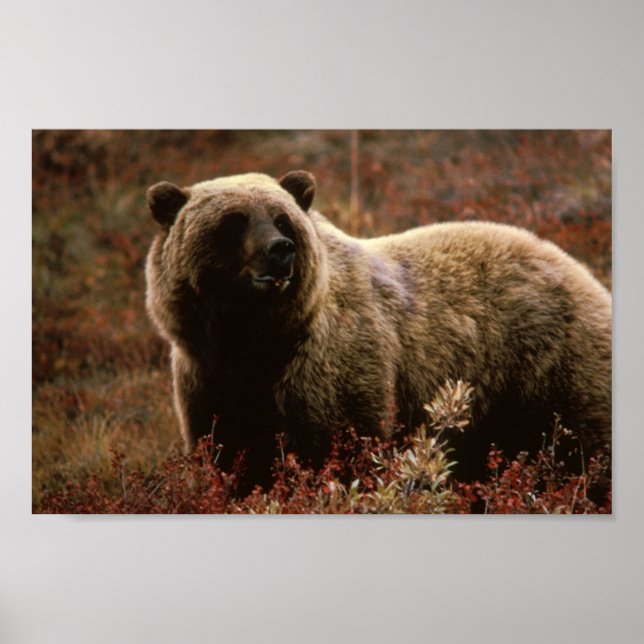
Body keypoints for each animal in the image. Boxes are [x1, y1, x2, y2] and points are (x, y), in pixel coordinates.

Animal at [145, 170, 612, 489]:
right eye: (235, 220)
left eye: (281, 218)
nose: (280, 250)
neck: (254, 341)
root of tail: (582, 271)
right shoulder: (208, 379)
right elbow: (228, 455)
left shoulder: (329, 369)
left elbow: (341, 447)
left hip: (548, 371)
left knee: (586, 448)